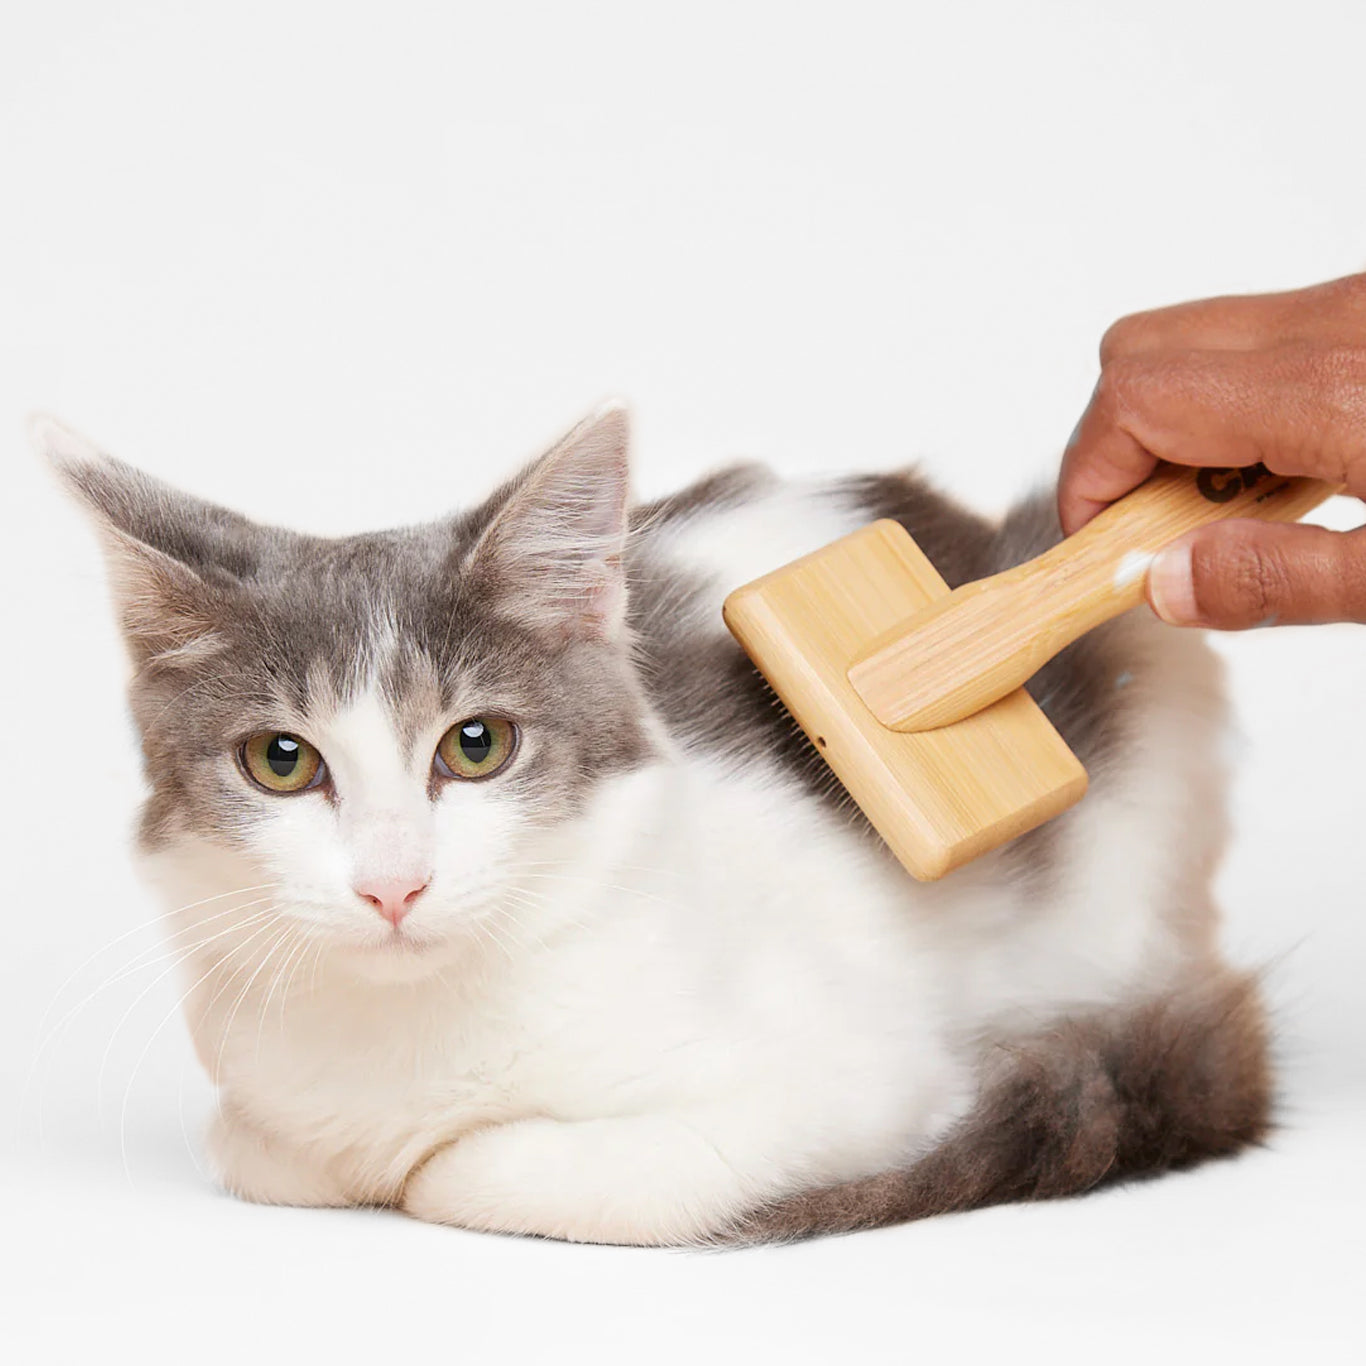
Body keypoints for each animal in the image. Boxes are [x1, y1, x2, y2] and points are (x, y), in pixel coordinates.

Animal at [34, 404, 1267, 1251]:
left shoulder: (854, 1083)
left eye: (475, 746)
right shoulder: (258, 1088)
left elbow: (463, 1175)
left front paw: (434, 1162)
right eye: (282, 762)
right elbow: (265, 1149)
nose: (393, 885)